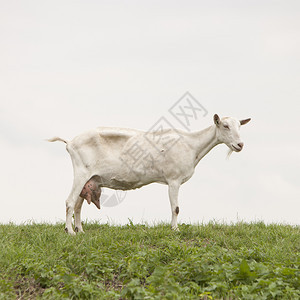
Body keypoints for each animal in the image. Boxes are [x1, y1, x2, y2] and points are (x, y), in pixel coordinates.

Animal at [49, 113, 251, 233]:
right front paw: (175, 230)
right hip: (81, 173)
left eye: (240, 126)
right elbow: (176, 208)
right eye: (225, 126)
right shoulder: (174, 179)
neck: (191, 145)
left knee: (77, 205)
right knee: (69, 202)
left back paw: (80, 231)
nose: (240, 145)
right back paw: (70, 232)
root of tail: (70, 142)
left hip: (89, 179)